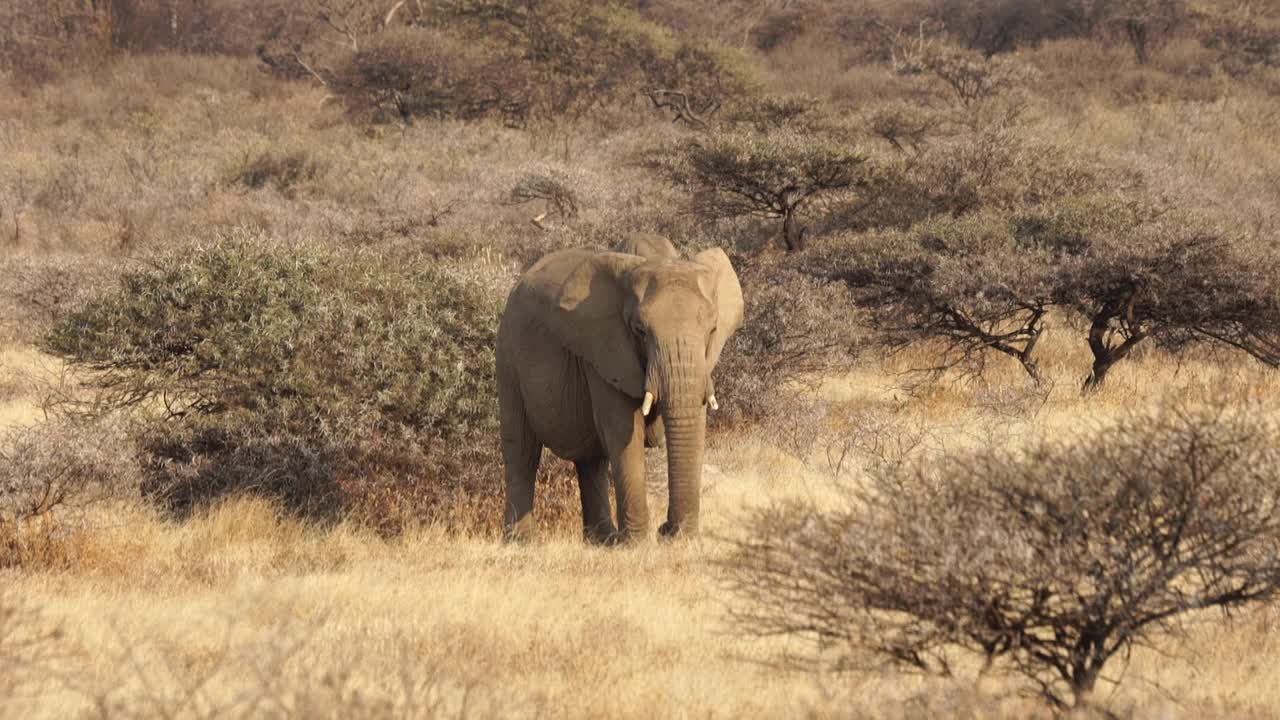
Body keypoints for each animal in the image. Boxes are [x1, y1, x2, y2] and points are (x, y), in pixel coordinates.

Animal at [494, 238, 747, 540]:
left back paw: (603, 540)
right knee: (522, 450)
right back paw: (522, 540)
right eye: (640, 331)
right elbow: (624, 430)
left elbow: (694, 423)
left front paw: (678, 536)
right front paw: (638, 542)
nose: (666, 530)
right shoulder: (605, 349)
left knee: (591, 459)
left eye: (712, 330)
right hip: (508, 358)